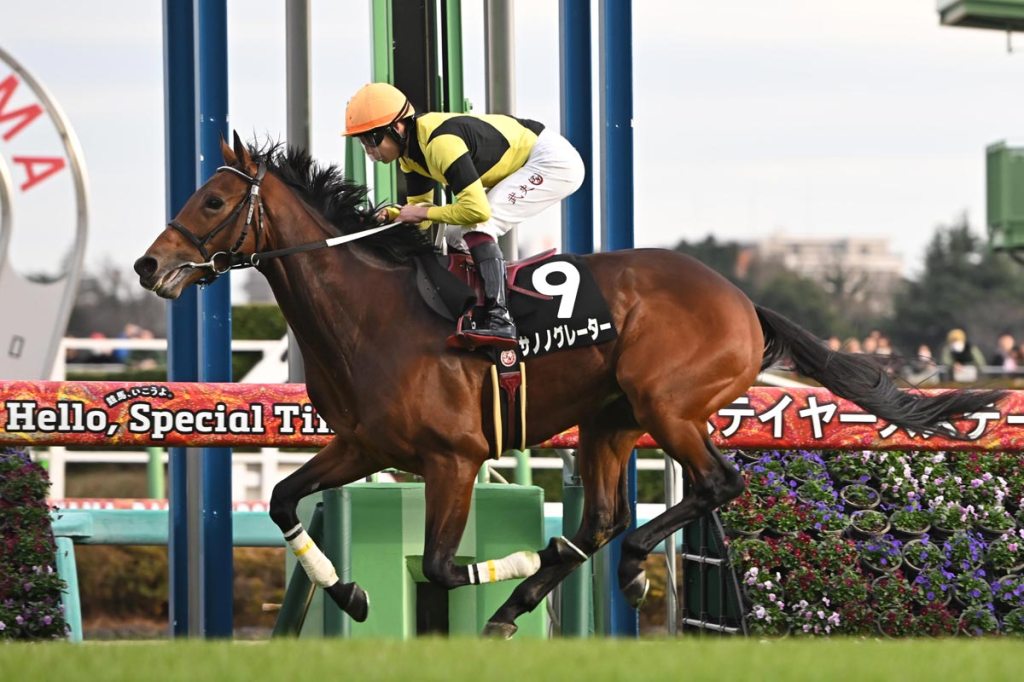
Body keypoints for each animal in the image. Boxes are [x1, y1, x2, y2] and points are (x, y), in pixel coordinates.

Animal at [135, 133, 1004, 637]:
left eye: (214, 199)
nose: (148, 265)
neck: (371, 313)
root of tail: (738, 298)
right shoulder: (364, 444)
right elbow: (284, 499)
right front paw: (347, 594)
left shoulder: (453, 458)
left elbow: (443, 566)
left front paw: (515, 565)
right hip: (609, 420)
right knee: (607, 516)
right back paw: (564, 580)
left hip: (666, 405)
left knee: (713, 485)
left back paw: (607, 570)